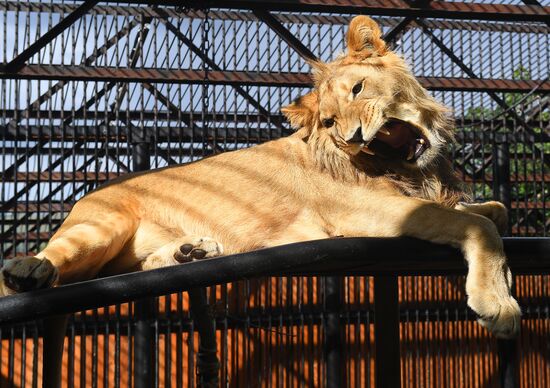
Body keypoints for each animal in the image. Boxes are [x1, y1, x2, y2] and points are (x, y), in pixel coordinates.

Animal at [1, 15, 520, 346]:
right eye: (330, 121)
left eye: (358, 88)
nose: (353, 136)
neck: (414, 170)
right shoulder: (360, 211)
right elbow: (476, 226)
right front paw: (497, 302)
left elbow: (492, 211)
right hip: (99, 226)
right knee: (42, 271)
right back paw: (28, 268)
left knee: (127, 269)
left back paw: (190, 252)